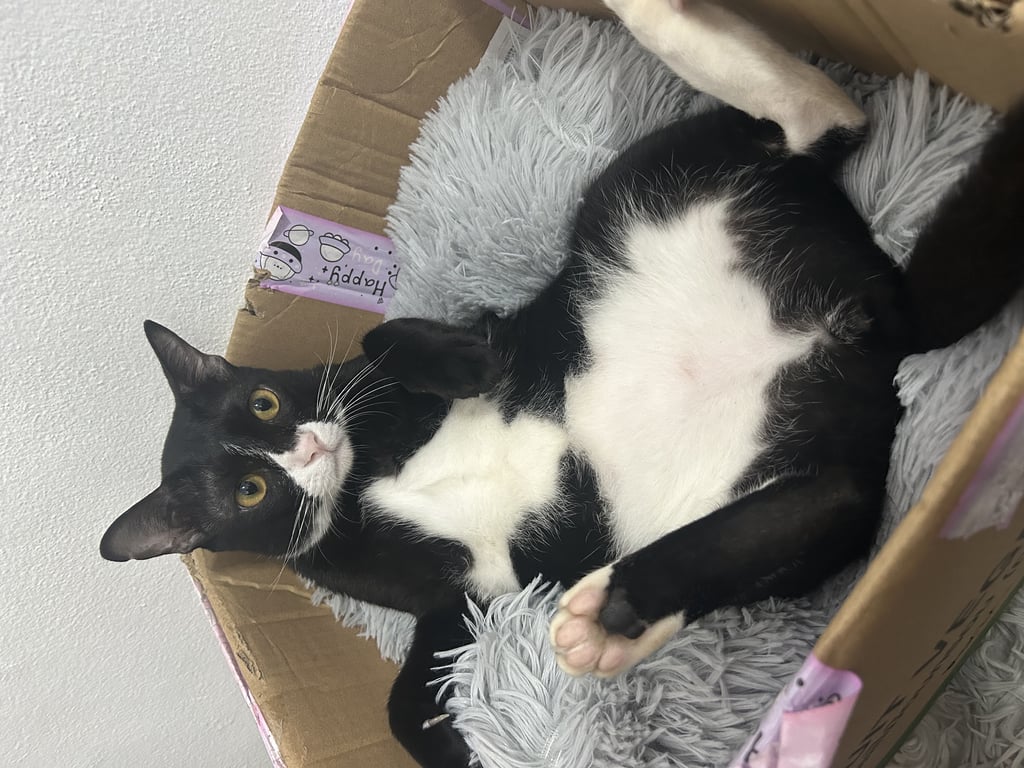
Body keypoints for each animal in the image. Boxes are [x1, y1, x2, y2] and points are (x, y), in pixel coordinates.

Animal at [100, 1, 1024, 766]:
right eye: (250, 491)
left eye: (263, 402)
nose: (309, 447)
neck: (365, 480)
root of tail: (859, 331)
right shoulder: (455, 601)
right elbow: (402, 705)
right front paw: (452, 745)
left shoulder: (403, 356)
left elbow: (387, 333)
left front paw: (468, 367)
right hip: (753, 500)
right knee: (827, 502)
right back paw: (612, 619)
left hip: (640, 187)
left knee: (824, 117)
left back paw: (663, 18)